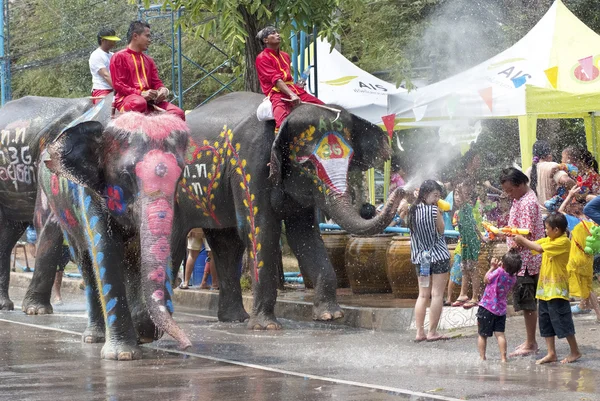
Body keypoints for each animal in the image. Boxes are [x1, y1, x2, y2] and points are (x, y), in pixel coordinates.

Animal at [36, 111, 191, 360]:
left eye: (180, 176)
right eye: (126, 175)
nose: (188, 346)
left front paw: (144, 332)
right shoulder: (89, 192)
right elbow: (106, 252)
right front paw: (122, 355)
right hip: (62, 213)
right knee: (85, 262)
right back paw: (94, 337)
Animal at [170, 92, 404, 330]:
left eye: (350, 162)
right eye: (308, 166)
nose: (402, 190)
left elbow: (303, 235)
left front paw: (330, 316)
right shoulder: (249, 165)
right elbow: (261, 231)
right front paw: (266, 328)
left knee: (226, 244)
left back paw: (234, 319)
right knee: (174, 242)